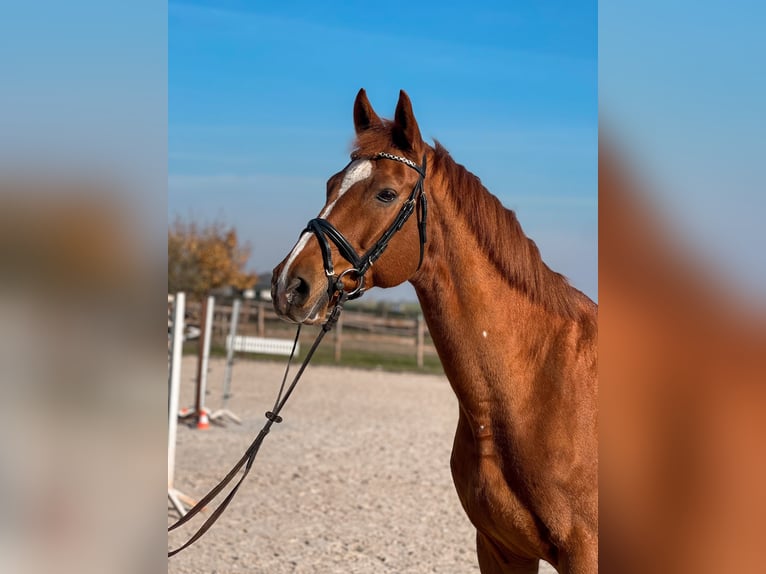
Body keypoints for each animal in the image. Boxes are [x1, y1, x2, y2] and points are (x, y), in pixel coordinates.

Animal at [272, 88, 600, 572]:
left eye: (386, 194)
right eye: (331, 185)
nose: (288, 284)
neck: (537, 385)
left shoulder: (585, 553)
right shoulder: (500, 548)